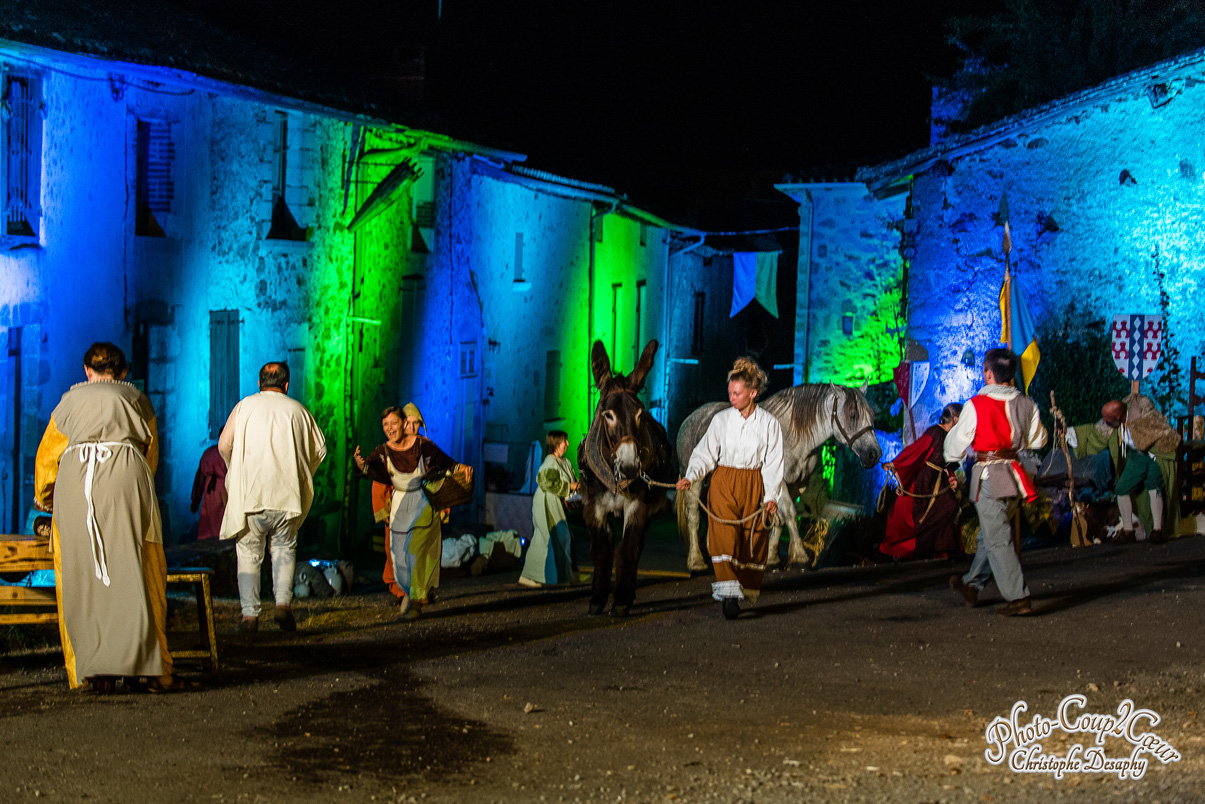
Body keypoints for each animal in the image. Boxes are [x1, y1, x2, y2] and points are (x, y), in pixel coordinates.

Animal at [578, 339, 676, 616]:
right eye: (607, 414)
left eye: (639, 414)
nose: (631, 467)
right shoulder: (593, 507)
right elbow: (602, 551)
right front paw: (597, 598)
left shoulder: (637, 506)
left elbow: (627, 549)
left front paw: (621, 599)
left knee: (637, 546)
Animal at [675, 383, 882, 572]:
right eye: (853, 415)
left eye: (871, 414)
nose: (874, 454)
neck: (793, 435)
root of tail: (690, 419)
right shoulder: (779, 481)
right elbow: (789, 513)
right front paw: (799, 557)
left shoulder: (795, 485)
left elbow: (780, 519)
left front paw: (771, 560)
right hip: (694, 480)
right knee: (693, 516)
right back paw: (696, 562)